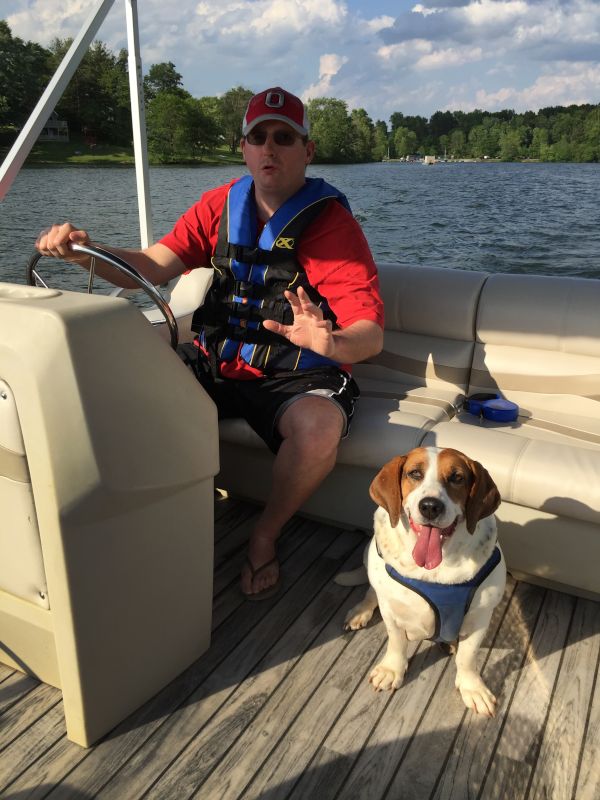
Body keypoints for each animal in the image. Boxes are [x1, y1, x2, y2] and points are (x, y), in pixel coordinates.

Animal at [344, 446, 504, 716]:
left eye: (457, 477)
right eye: (414, 474)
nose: (430, 506)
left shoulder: (481, 616)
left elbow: (468, 657)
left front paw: (472, 687)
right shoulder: (391, 609)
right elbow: (396, 641)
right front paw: (392, 670)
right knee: (370, 593)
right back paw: (360, 612)